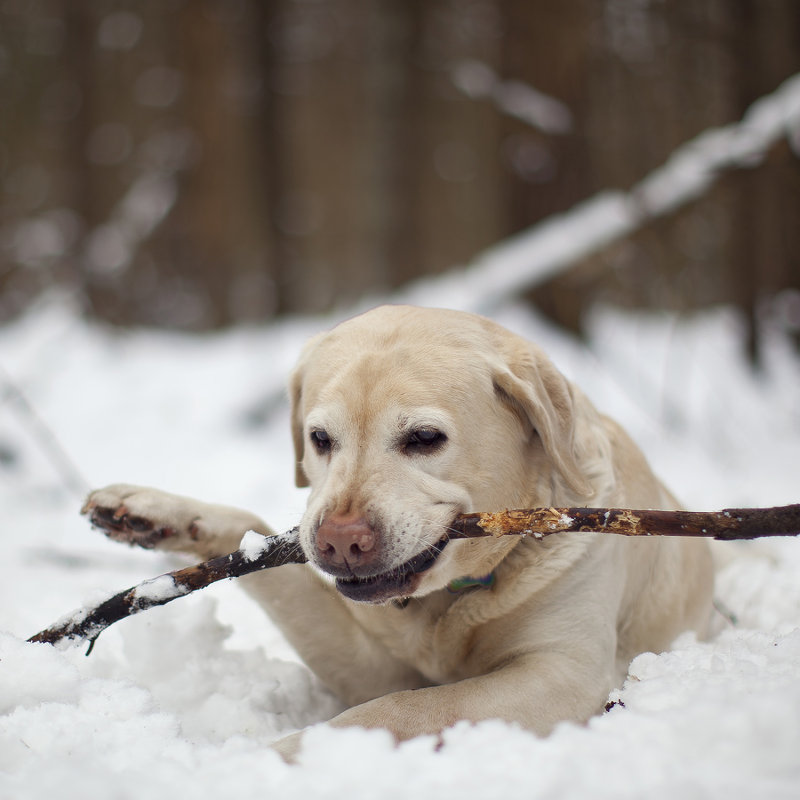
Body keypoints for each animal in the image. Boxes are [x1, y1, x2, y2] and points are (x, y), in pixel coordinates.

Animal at [86, 304, 712, 756]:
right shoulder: (371, 661)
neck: (452, 600)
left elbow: (401, 709)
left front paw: (283, 755)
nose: (339, 540)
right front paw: (149, 510)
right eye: (319, 439)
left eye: (424, 438)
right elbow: (259, 547)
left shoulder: (563, 672)